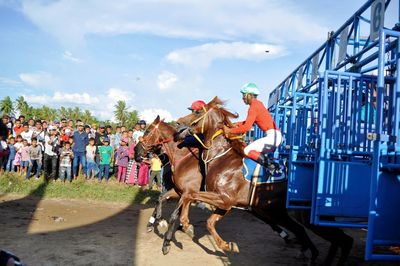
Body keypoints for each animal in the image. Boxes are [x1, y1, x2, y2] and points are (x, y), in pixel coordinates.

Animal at [140, 117, 288, 255]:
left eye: (147, 131)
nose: (137, 152)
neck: (183, 158)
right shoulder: (179, 191)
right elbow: (161, 199)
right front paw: (157, 221)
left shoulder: (188, 192)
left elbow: (174, 215)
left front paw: (167, 241)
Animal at [175, 97, 354, 266]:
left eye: (197, 112)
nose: (177, 123)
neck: (221, 158)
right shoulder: (226, 204)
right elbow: (209, 221)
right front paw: (224, 244)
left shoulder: (225, 199)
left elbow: (190, 195)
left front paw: (186, 223)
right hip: (279, 212)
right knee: (309, 233)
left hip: (306, 216)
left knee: (344, 240)